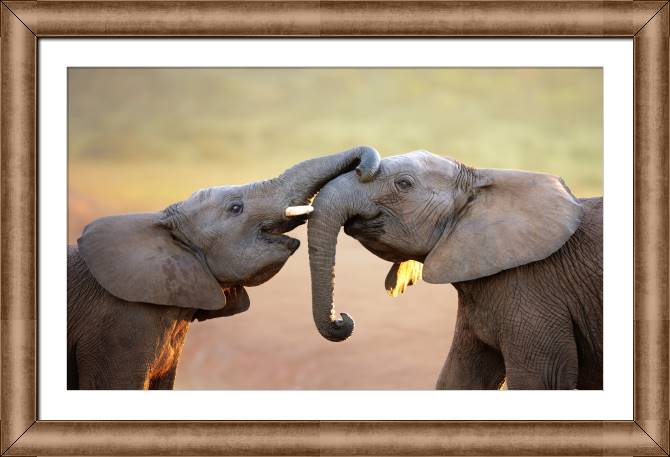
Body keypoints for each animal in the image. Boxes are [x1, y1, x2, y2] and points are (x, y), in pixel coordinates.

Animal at [306, 149, 602, 390]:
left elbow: (540, 380)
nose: (342, 319)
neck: (482, 181)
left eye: (404, 184)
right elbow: (458, 379)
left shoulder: (533, 288)